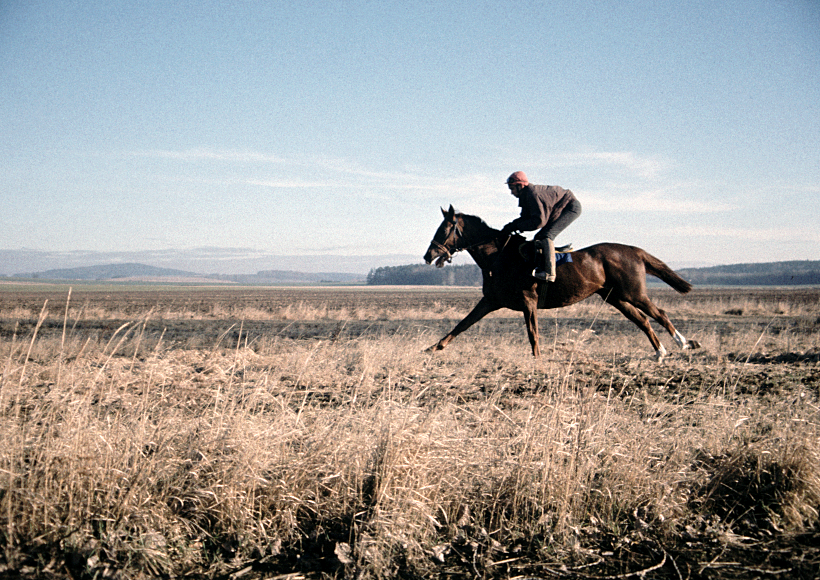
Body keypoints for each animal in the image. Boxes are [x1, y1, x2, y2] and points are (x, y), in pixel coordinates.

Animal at [422, 206, 700, 360]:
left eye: (444, 229)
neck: (499, 257)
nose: (428, 255)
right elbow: (461, 325)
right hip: (615, 297)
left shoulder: (528, 300)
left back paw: (682, 343)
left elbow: (533, 334)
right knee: (642, 320)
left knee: (659, 313)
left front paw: (538, 360)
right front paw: (433, 348)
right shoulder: (491, 300)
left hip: (633, 293)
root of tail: (634, 250)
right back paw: (660, 353)